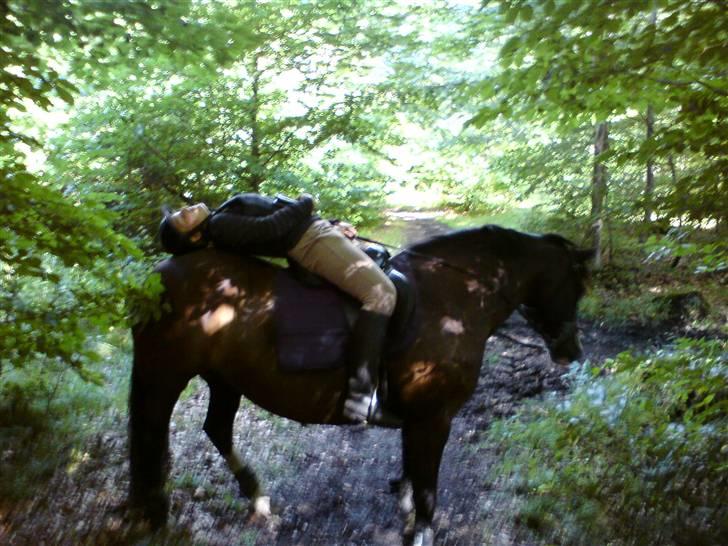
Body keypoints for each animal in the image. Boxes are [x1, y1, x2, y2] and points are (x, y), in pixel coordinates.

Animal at [129, 223, 592, 540]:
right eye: (576, 286)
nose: (572, 352)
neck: (452, 300)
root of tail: (160, 273)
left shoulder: (419, 422)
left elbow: (412, 474)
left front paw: (405, 507)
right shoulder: (434, 419)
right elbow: (427, 489)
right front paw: (419, 531)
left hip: (224, 380)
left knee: (217, 429)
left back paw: (257, 497)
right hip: (163, 374)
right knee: (152, 437)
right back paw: (155, 514)